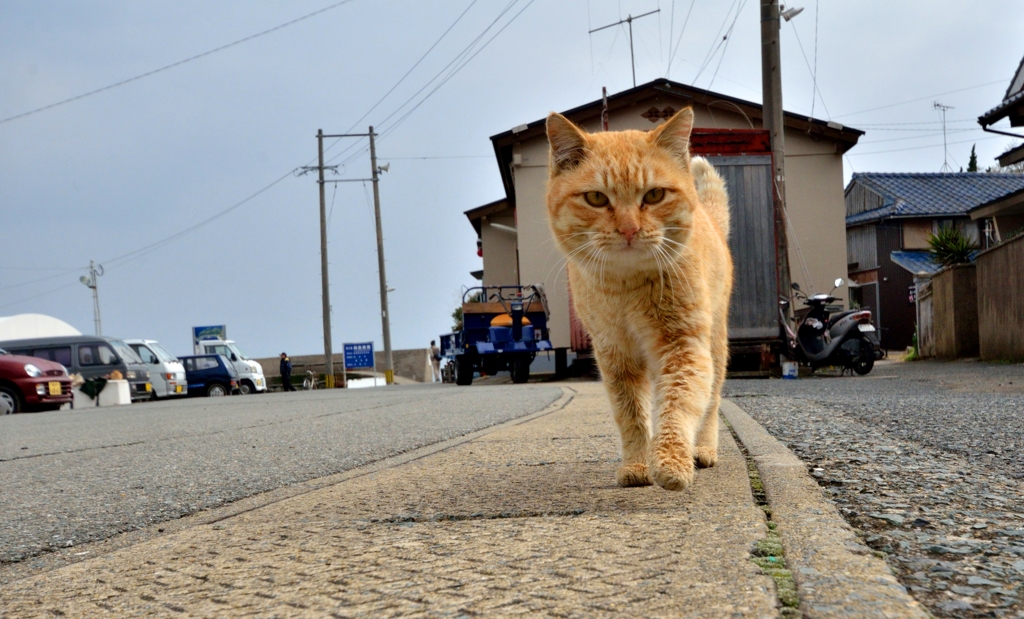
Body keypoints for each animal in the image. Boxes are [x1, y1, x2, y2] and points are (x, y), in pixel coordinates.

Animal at [548, 108, 733, 489]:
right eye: (596, 198)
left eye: (655, 195)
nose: (629, 229)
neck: (626, 290)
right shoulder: (615, 357)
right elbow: (631, 415)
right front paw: (637, 464)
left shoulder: (682, 347)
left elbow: (677, 406)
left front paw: (671, 461)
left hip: (715, 344)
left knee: (711, 403)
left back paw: (703, 449)